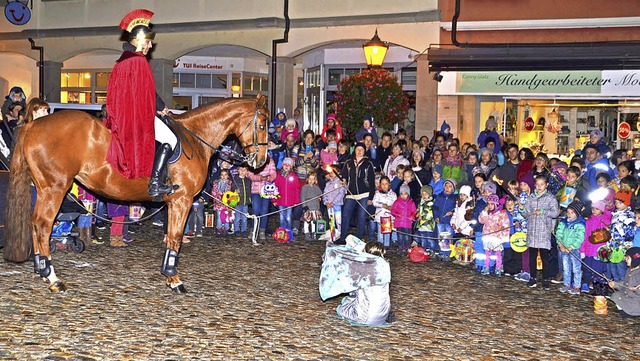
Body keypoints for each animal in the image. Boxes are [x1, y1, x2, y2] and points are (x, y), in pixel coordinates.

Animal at [3, 94, 268, 292]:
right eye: (263, 124)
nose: (261, 161)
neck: (195, 138)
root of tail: (33, 124)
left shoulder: (173, 202)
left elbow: (170, 235)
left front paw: (168, 274)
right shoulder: (182, 200)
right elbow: (175, 237)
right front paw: (174, 279)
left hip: (43, 188)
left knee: (34, 223)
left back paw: (42, 269)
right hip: (55, 188)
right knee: (43, 225)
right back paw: (53, 277)